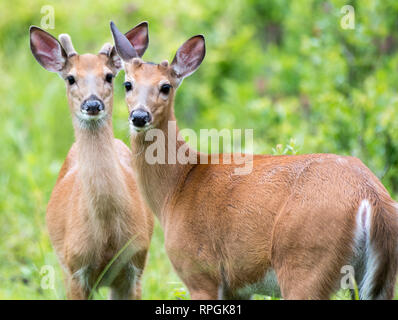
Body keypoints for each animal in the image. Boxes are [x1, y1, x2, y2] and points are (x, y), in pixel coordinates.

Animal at [29, 25, 154, 300]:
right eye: (70, 78)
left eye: (108, 76)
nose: (93, 103)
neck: (107, 236)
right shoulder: (74, 269)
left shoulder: (135, 266)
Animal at [109, 22, 398, 300]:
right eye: (128, 84)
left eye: (165, 87)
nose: (139, 116)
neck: (176, 187)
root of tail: (371, 197)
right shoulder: (238, 287)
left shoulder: (200, 270)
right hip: (380, 279)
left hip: (305, 262)